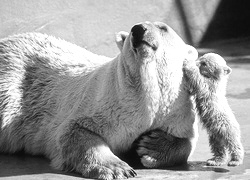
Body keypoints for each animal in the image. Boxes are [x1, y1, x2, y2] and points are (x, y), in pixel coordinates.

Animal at [0, 21, 198, 179]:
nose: (138, 29)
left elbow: (186, 142)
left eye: (163, 28)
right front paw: (117, 168)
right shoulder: (105, 103)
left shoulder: (176, 109)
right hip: (10, 85)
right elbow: (75, 130)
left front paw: (151, 146)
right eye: (132, 29)